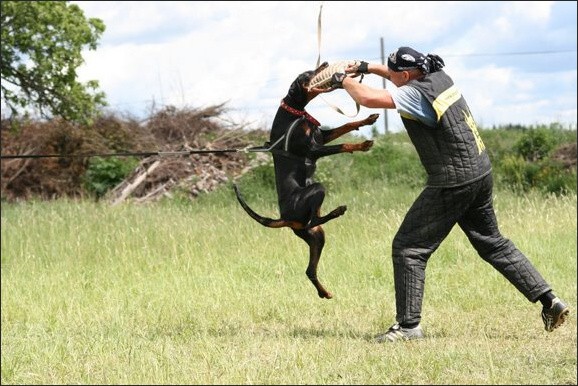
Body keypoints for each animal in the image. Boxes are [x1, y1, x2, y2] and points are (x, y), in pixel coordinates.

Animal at [232, 62, 376, 298]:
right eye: (308, 75)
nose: (325, 63)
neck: (295, 112)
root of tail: (285, 217)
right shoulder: (314, 149)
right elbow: (342, 145)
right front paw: (361, 145)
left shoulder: (321, 136)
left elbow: (344, 127)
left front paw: (366, 120)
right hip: (317, 191)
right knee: (314, 219)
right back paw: (337, 211)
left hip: (316, 237)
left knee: (310, 269)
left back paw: (324, 292)